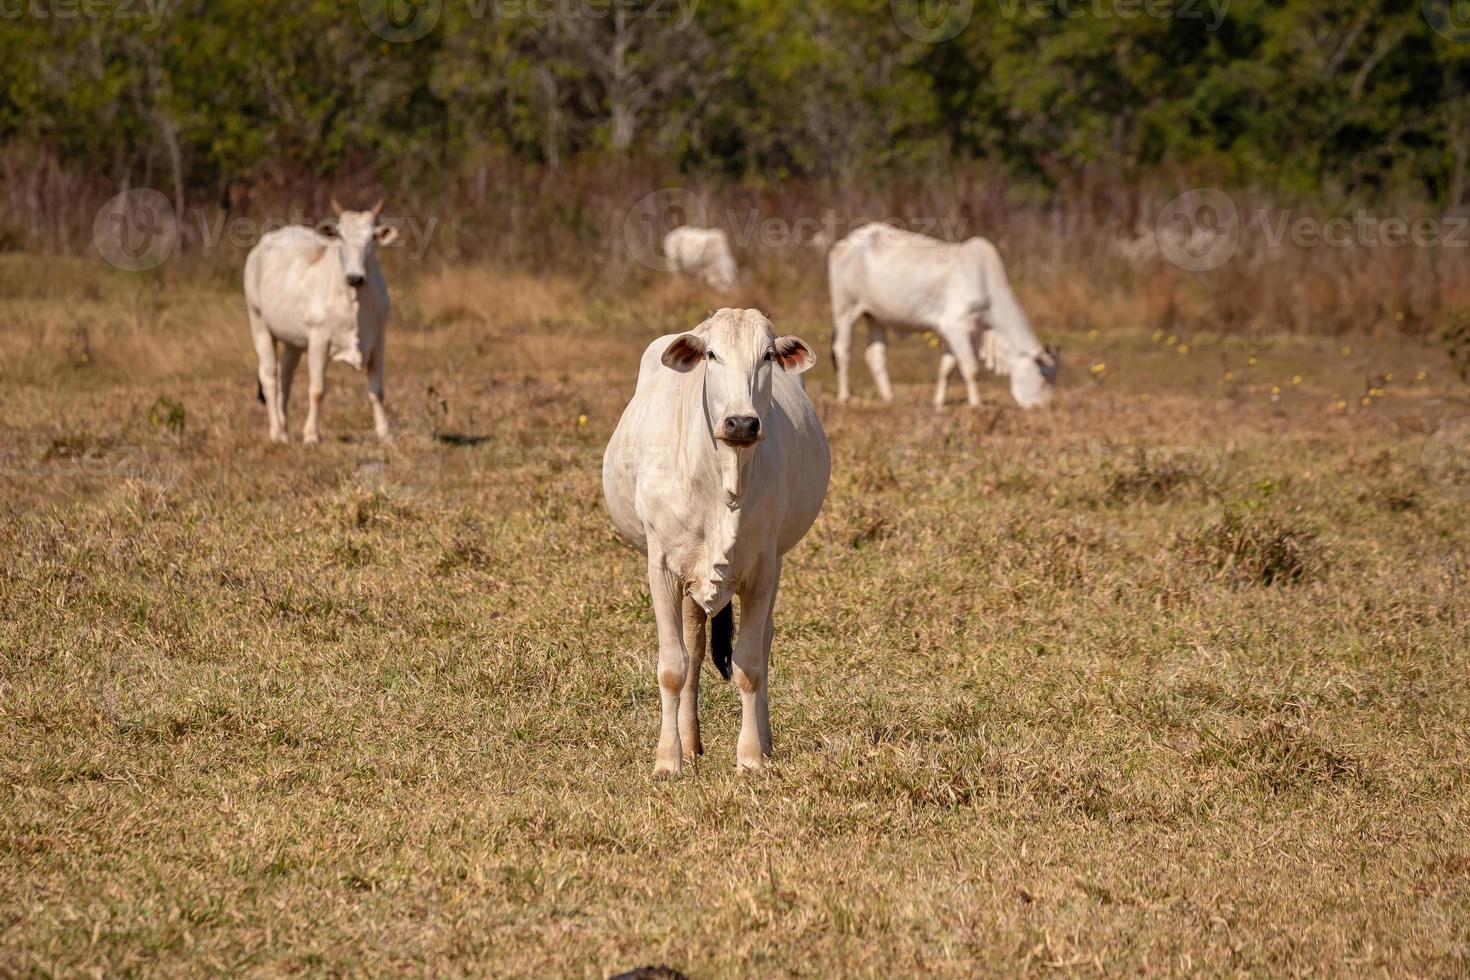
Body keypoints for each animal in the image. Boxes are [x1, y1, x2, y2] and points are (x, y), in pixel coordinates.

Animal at [245, 196, 396, 443]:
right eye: (341, 236)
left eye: (372, 238)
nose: (355, 277)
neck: (354, 303)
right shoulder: (319, 340)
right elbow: (317, 390)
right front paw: (311, 435)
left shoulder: (378, 341)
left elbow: (377, 390)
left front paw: (385, 433)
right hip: (258, 322)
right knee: (269, 376)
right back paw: (277, 432)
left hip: (293, 341)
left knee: (285, 376)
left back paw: (285, 427)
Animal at [829, 221, 1058, 411]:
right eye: (1043, 376)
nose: (1042, 407)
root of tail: (843, 244)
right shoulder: (956, 327)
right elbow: (971, 368)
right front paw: (977, 403)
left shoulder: (960, 333)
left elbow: (947, 368)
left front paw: (938, 402)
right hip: (844, 310)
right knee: (842, 350)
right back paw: (844, 397)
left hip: (875, 316)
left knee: (876, 354)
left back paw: (889, 397)